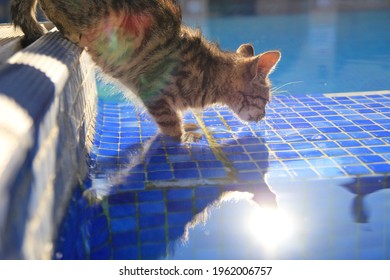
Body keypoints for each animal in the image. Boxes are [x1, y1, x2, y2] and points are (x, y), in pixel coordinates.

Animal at [10, 0, 280, 142]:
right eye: (265, 100)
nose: (264, 116)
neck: (209, 75)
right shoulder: (153, 91)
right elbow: (170, 124)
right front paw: (184, 137)